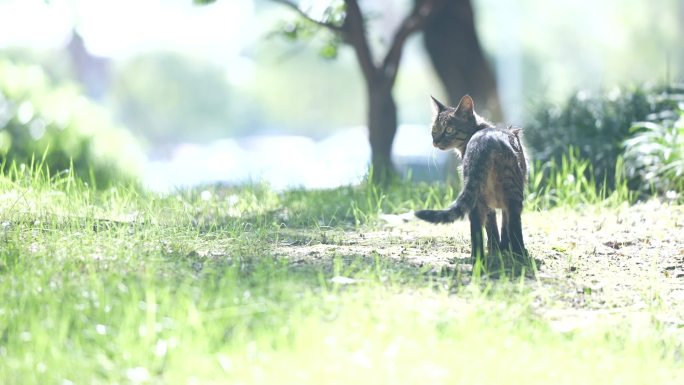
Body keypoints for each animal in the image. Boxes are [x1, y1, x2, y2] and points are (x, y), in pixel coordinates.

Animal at [412, 93, 528, 264]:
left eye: (449, 129)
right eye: (435, 129)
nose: (435, 141)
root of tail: (484, 141)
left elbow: (493, 227)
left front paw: (497, 250)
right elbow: (502, 225)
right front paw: (503, 249)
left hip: (475, 196)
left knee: (477, 231)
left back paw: (478, 259)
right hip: (513, 194)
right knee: (514, 225)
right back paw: (520, 255)